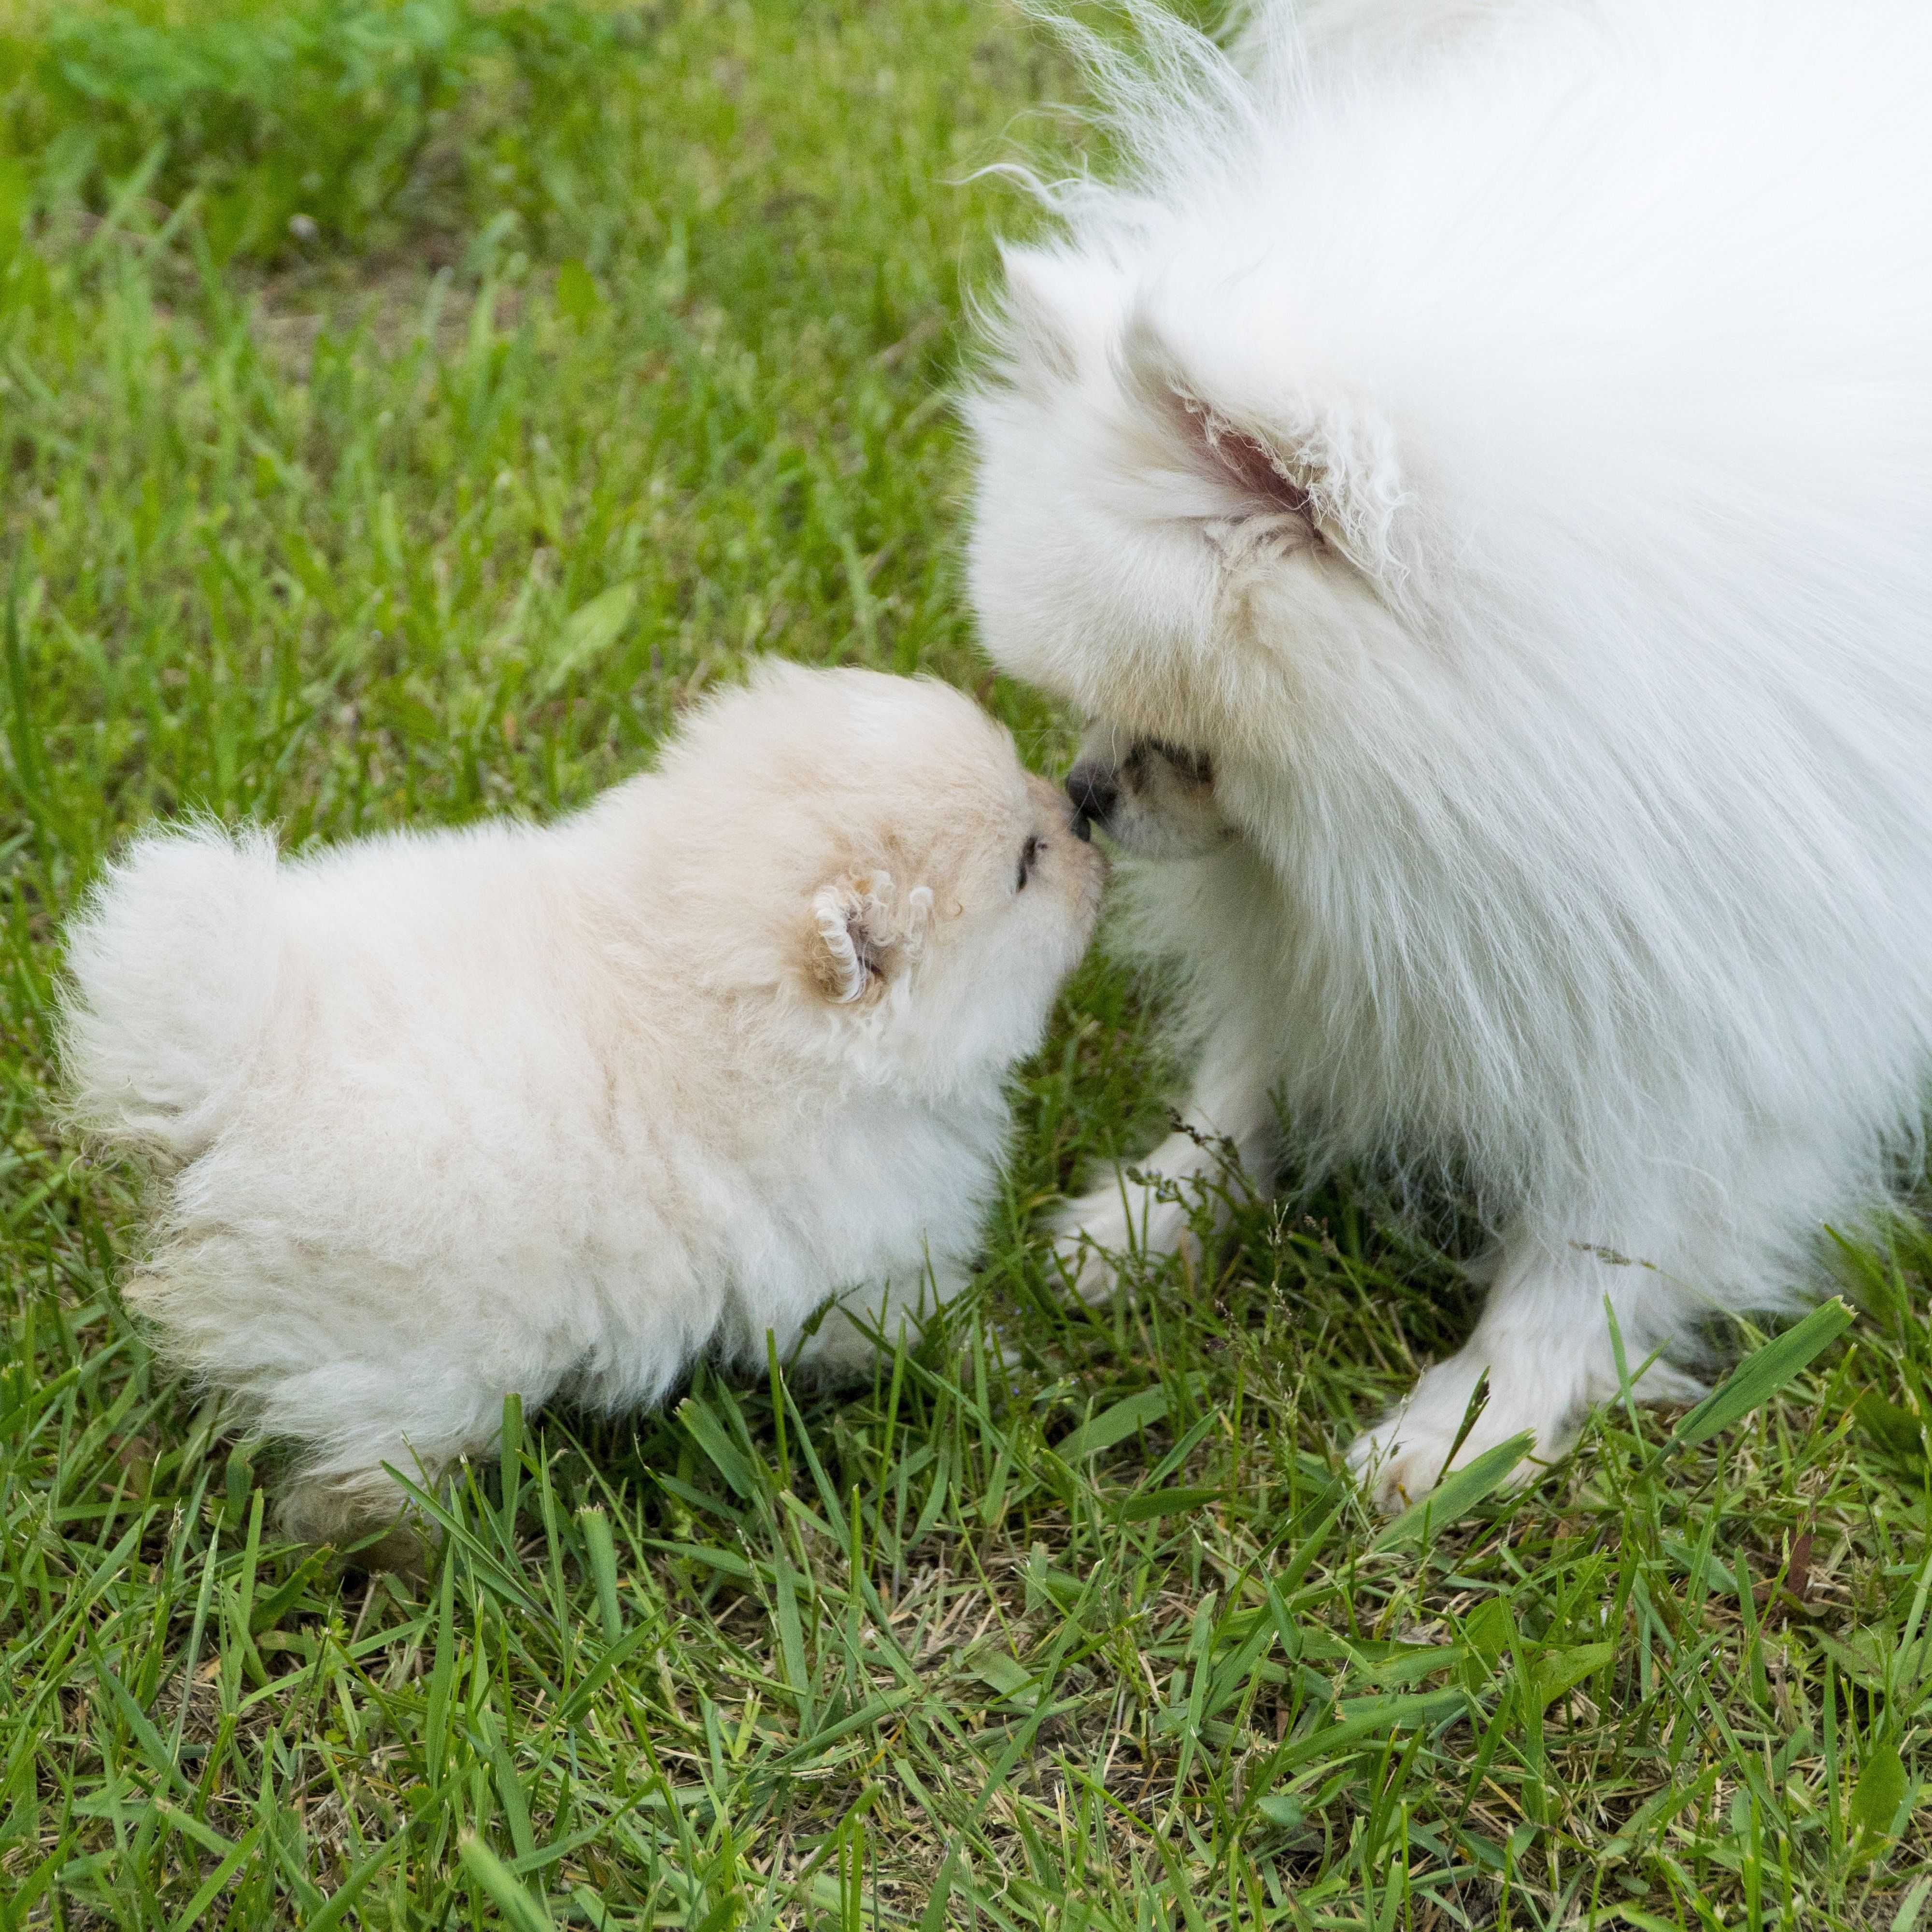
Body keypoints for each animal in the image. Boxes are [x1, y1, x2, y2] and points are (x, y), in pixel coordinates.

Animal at [64, 665, 1105, 1538]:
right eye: (1025, 862)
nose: (1085, 813)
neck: (703, 975)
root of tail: (242, 1061)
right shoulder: (862, 1254)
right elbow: (908, 1322)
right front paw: (1002, 1361)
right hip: (412, 1357)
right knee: (361, 1472)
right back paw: (421, 1541)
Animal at [974, 0, 1932, 1499]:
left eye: (1183, 740)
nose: (1081, 796)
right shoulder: (1384, 899)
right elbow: (1258, 1054)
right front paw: (1148, 1215)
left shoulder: (1707, 981)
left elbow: (1601, 1233)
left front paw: (1478, 1423)